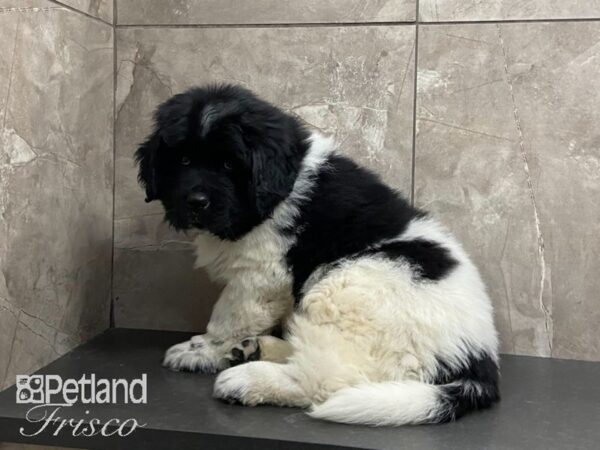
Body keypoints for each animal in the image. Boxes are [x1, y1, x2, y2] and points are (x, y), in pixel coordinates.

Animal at [137, 84, 502, 426]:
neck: (280, 188)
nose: (195, 202)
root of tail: (478, 359)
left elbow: (228, 318)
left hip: (352, 285)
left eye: (229, 164)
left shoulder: (260, 275)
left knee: (323, 380)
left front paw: (199, 351)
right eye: (183, 161)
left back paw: (246, 380)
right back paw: (256, 349)